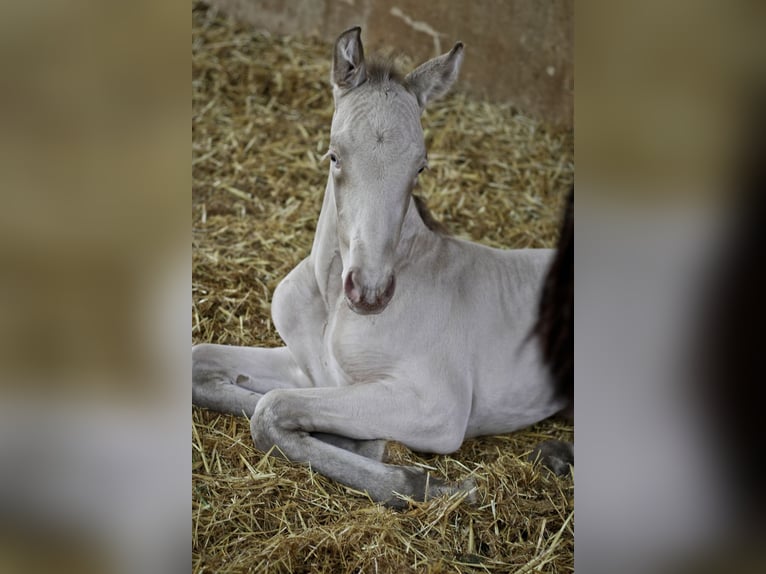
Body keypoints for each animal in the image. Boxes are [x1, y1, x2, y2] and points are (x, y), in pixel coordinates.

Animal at [195, 28, 572, 508]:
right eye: (334, 156)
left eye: (420, 167)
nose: (370, 292)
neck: (331, 303)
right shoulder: (311, 369)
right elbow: (205, 364)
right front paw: (372, 445)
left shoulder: (436, 406)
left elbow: (272, 408)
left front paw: (429, 482)